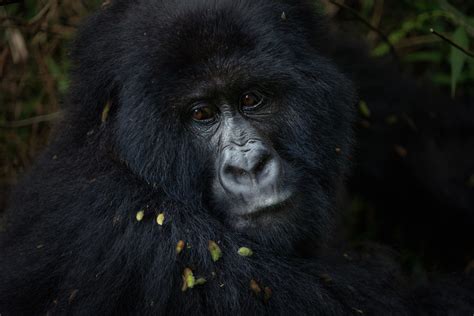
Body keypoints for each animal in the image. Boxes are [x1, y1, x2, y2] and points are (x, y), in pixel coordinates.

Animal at [0, 0, 474, 314]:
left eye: (251, 99)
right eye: (201, 114)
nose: (249, 167)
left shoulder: (324, 53)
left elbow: (429, 136)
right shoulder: (151, 238)